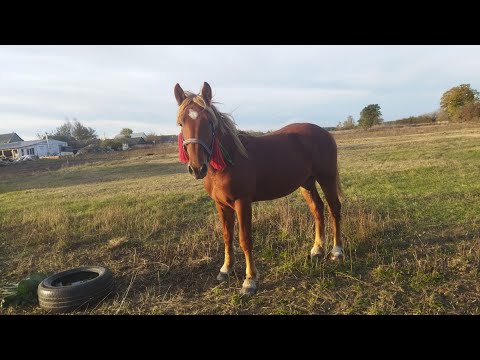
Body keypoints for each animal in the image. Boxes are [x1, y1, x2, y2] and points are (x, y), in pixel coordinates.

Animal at [174, 82, 344, 296]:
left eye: (209, 122)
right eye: (181, 123)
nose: (197, 168)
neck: (229, 161)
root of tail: (325, 132)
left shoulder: (242, 202)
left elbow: (245, 239)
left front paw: (249, 281)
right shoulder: (221, 205)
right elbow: (227, 236)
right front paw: (226, 269)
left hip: (326, 178)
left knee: (334, 208)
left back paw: (337, 252)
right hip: (306, 183)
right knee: (318, 210)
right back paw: (317, 250)